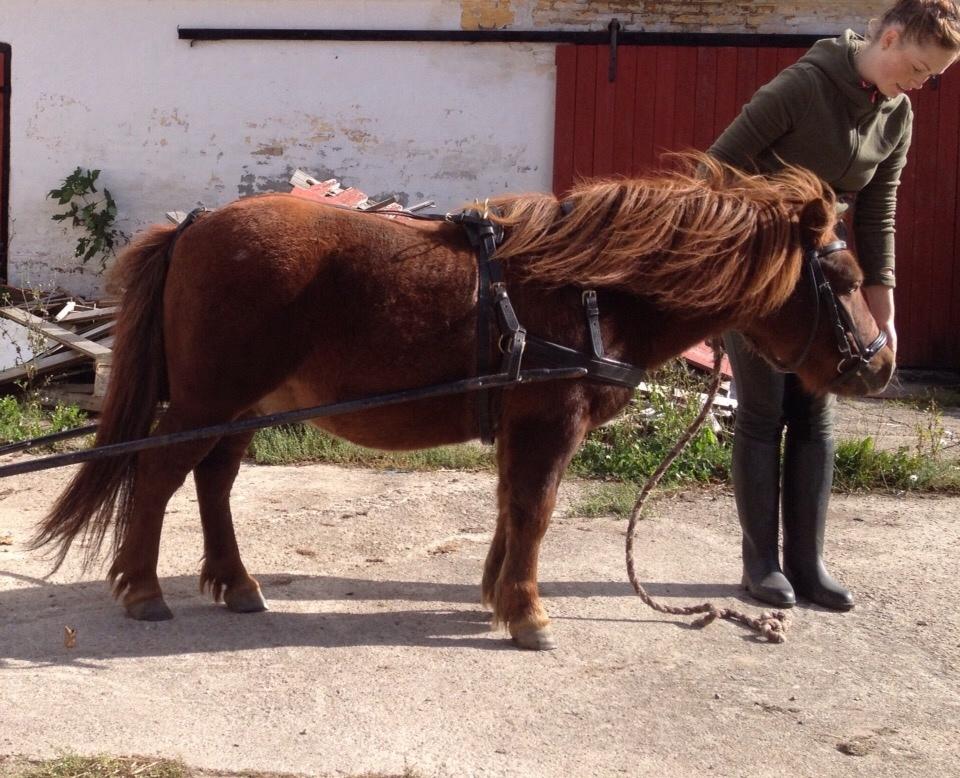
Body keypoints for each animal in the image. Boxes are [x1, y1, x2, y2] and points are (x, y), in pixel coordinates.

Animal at [33, 155, 896, 644]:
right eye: (845, 278)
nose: (879, 364)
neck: (591, 290)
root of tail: (197, 224)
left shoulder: (525, 424)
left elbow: (513, 509)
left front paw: (499, 597)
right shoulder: (550, 420)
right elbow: (535, 511)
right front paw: (529, 614)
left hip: (247, 405)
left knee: (213, 483)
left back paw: (236, 583)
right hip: (208, 402)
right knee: (157, 479)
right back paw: (144, 589)